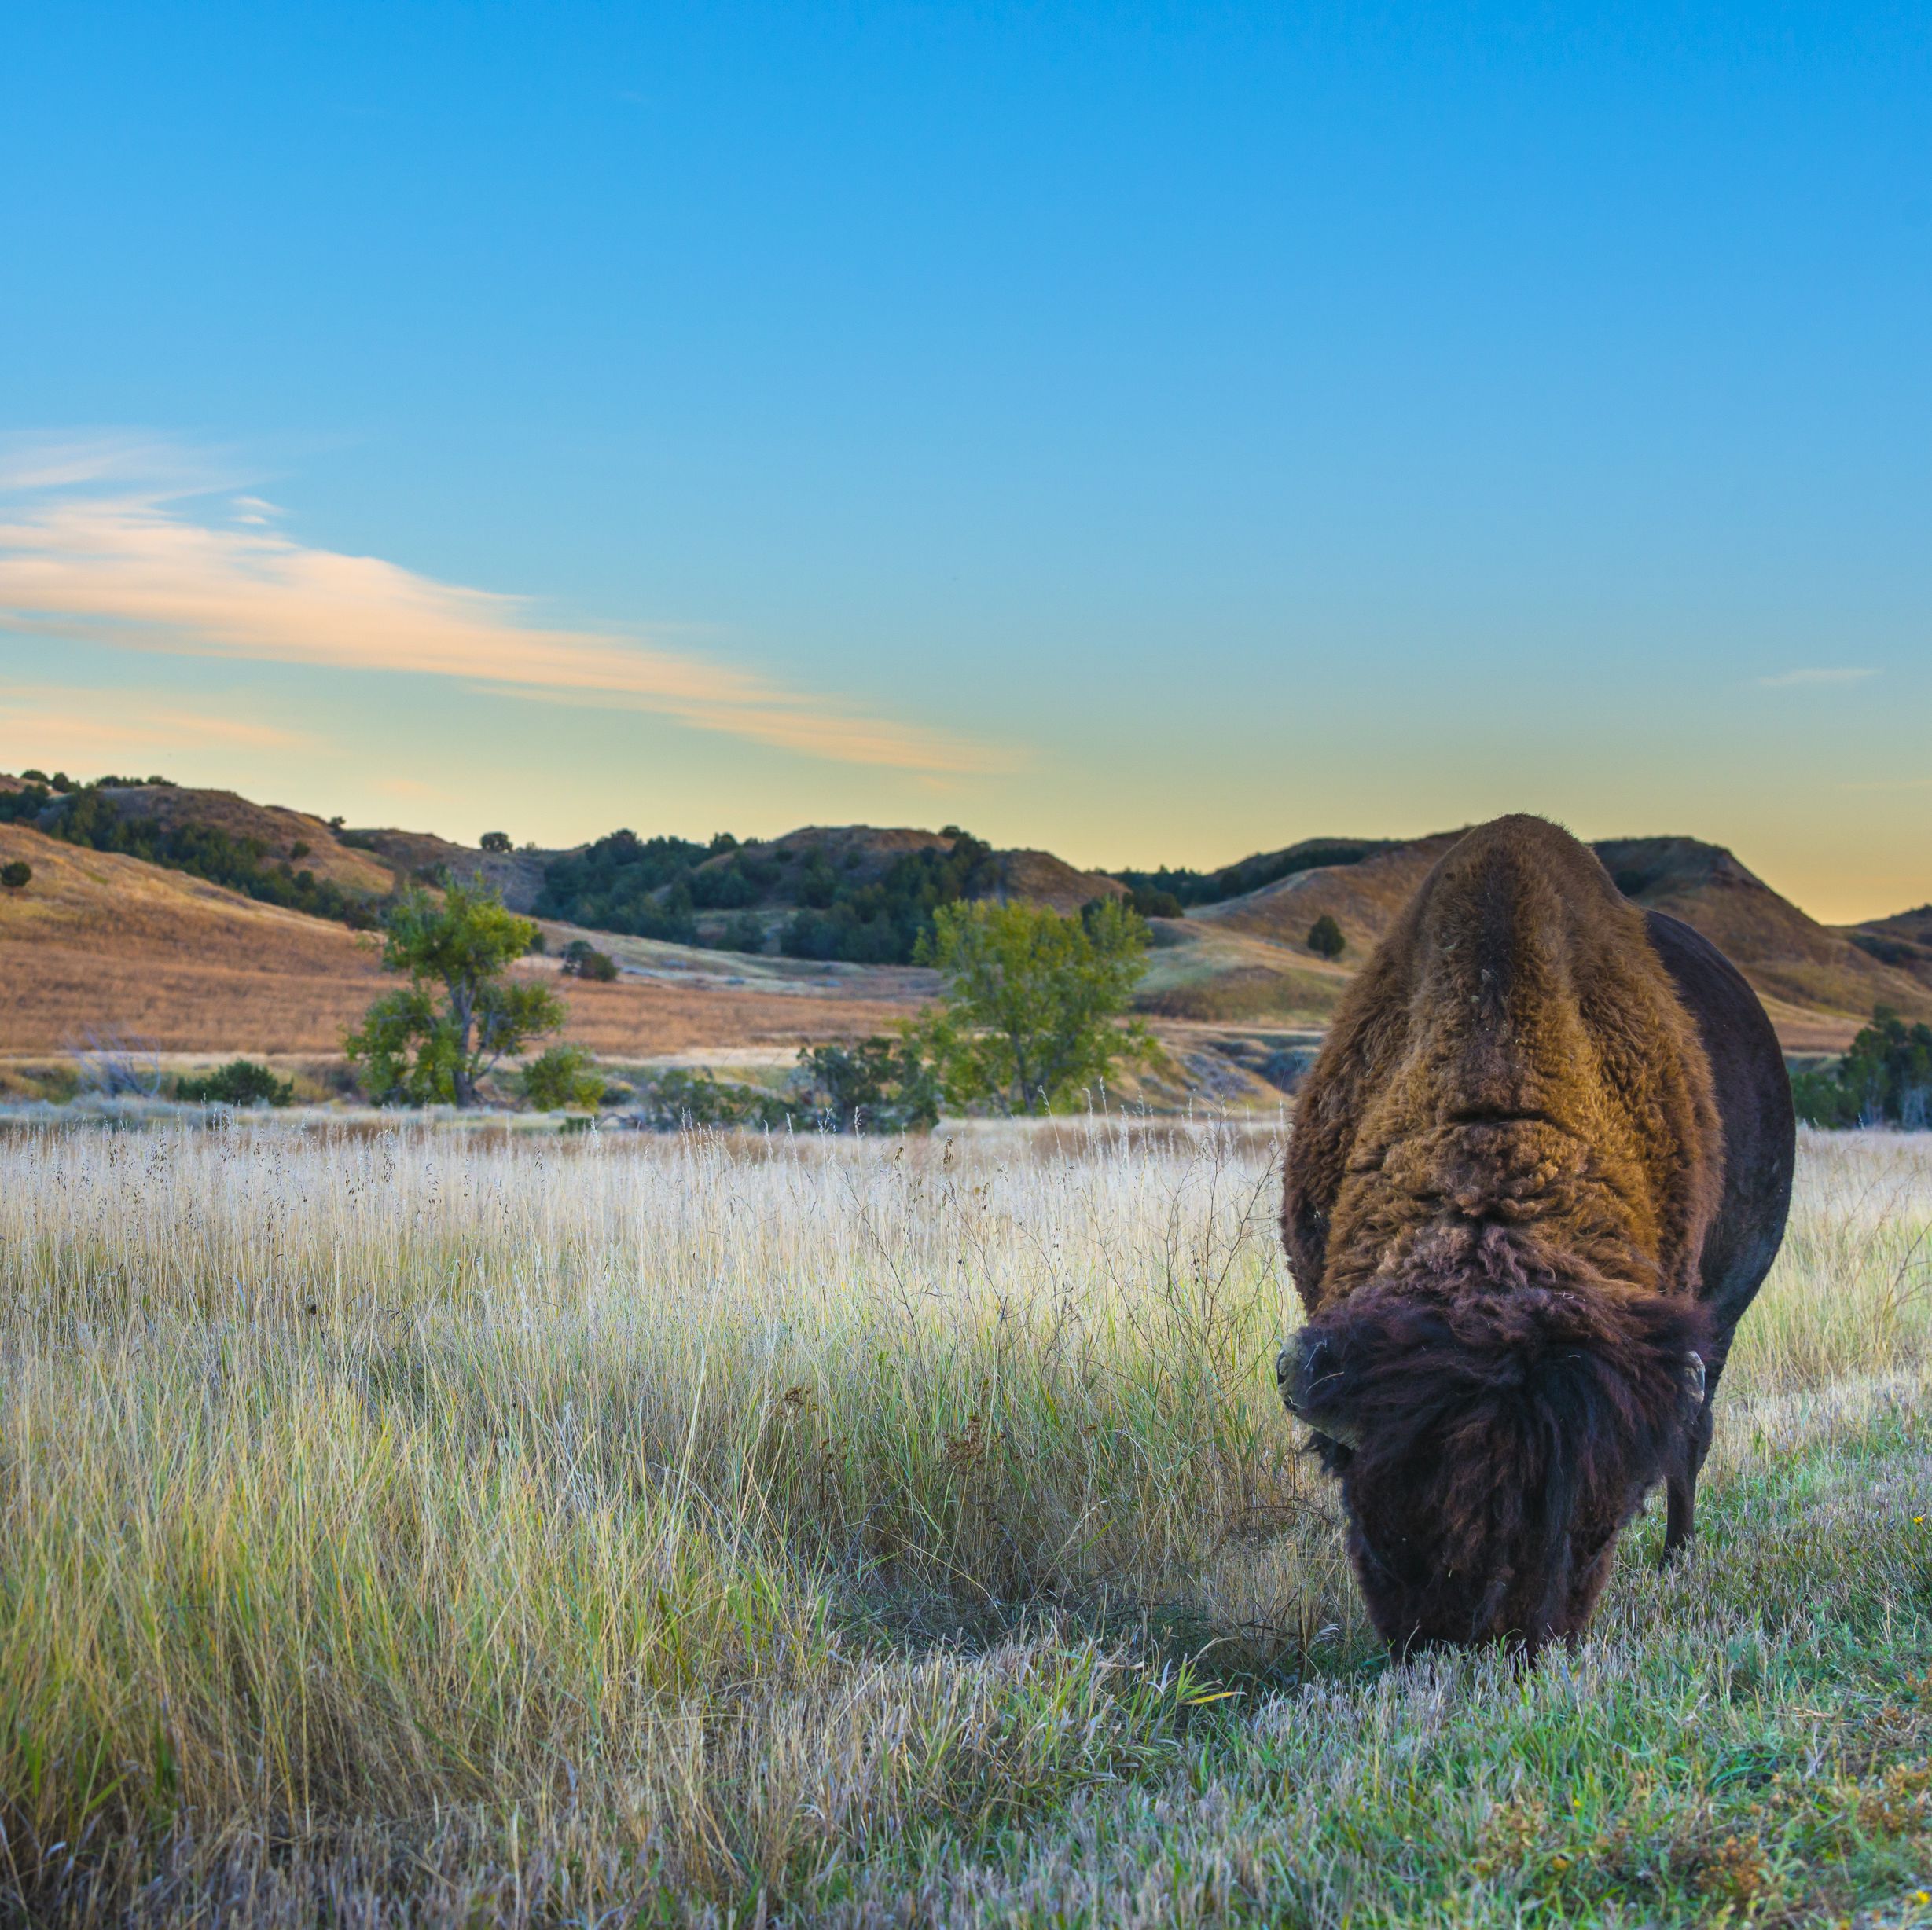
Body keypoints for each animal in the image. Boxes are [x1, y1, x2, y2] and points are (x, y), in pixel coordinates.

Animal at [1283, 807, 1793, 1653]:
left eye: (1592, 1531)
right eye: (1376, 1531)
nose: (1480, 1646)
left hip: (1723, 1317)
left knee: (1695, 1435)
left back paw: (1677, 1559)